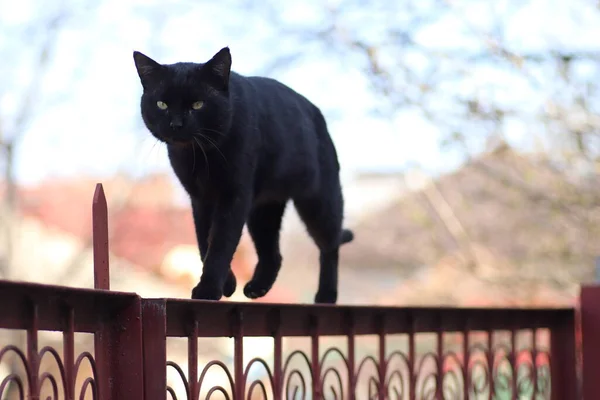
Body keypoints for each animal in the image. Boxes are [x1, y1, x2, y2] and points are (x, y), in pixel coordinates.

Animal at [134, 46, 354, 304]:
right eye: (162, 104)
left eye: (198, 104)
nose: (176, 124)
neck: (201, 156)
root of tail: (315, 111)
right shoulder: (201, 198)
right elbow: (204, 239)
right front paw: (227, 284)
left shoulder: (234, 195)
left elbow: (221, 242)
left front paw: (208, 290)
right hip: (263, 210)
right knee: (273, 254)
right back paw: (257, 288)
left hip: (319, 201)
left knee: (330, 246)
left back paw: (326, 296)